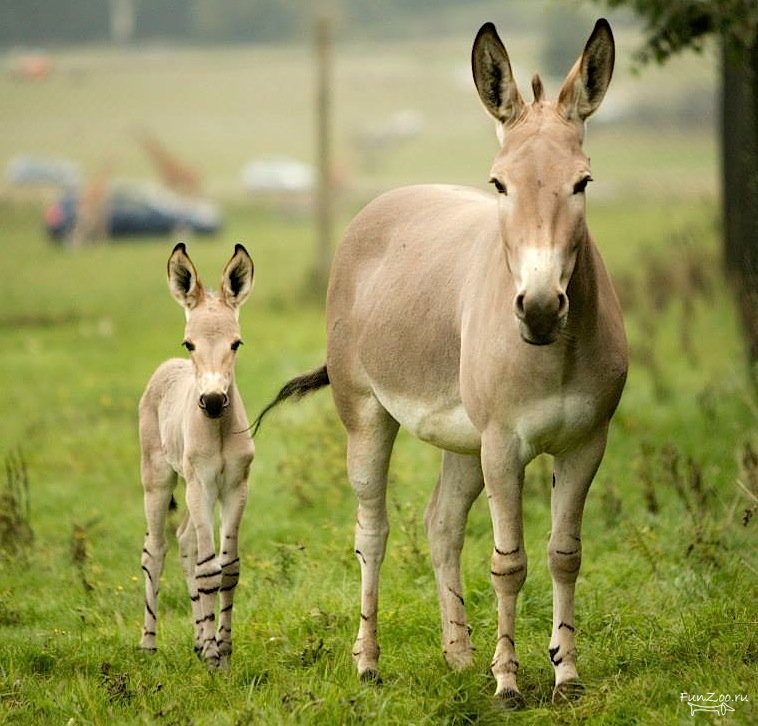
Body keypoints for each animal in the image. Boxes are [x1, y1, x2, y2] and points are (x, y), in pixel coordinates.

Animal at [138, 245, 254, 672]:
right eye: (189, 344)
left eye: (236, 343)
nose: (214, 402)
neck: (217, 431)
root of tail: (165, 368)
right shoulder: (203, 486)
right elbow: (208, 570)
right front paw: (216, 659)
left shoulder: (235, 487)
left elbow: (228, 569)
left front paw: (222, 646)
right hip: (160, 482)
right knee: (155, 550)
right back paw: (149, 645)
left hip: (187, 489)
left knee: (185, 541)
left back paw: (199, 641)